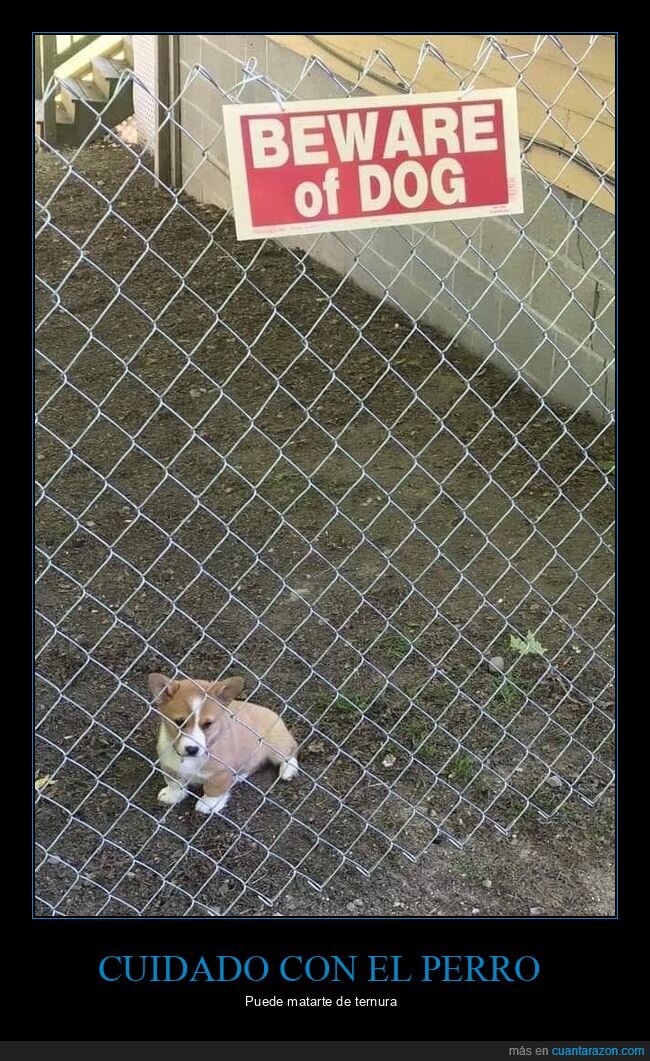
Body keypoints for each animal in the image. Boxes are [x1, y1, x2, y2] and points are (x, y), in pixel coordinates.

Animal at [148, 674, 296, 814]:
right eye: (179, 722)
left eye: (207, 724)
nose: (192, 749)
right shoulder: (169, 766)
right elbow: (174, 783)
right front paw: (172, 795)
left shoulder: (220, 773)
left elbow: (213, 789)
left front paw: (208, 804)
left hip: (275, 745)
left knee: (290, 751)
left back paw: (288, 770)